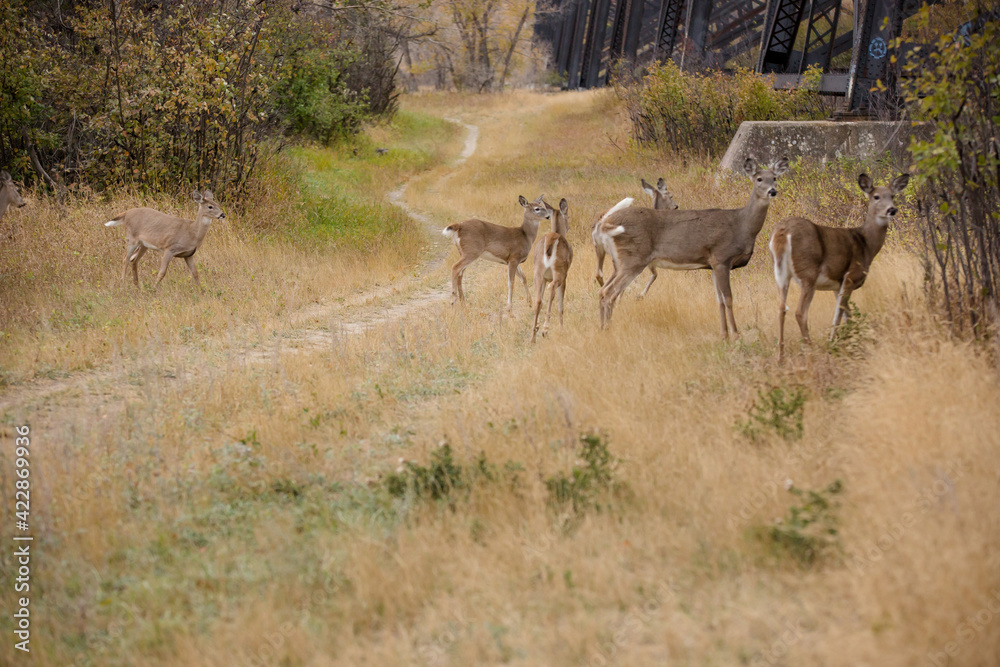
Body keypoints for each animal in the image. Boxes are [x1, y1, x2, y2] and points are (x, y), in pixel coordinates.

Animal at [531, 197, 573, 342]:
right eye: (567, 215)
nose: (569, 226)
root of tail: (551, 239)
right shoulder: (565, 276)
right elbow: (561, 305)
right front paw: (561, 328)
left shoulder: (544, 278)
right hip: (559, 271)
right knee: (552, 289)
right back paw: (545, 329)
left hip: (538, 272)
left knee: (538, 300)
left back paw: (533, 336)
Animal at [598, 157, 790, 337]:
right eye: (759, 179)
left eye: (774, 178)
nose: (772, 191)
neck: (742, 225)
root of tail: (605, 222)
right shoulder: (722, 257)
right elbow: (728, 298)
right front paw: (736, 335)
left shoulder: (712, 264)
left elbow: (719, 300)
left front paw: (724, 335)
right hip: (634, 258)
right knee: (609, 292)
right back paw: (607, 330)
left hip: (619, 261)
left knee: (602, 290)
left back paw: (603, 328)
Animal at [769, 172, 910, 361]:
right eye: (876, 196)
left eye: (893, 196)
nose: (892, 210)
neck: (867, 244)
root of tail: (782, 233)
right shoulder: (850, 276)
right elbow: (839, 315)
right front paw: (835, 343)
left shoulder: (837, 285)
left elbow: (847, 315)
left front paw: (855, 341)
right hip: (808, 273)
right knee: (800, 312)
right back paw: (811, 349)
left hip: (780, 274)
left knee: (781, 309)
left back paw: (781, 357)